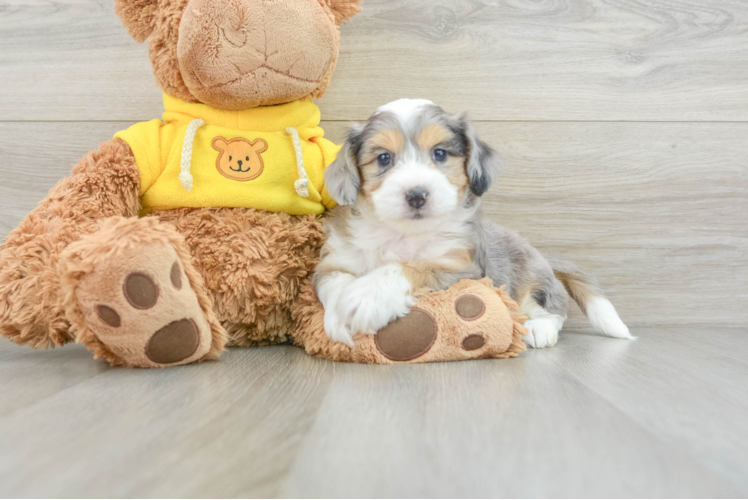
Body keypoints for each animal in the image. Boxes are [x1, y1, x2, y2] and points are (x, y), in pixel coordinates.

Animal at [312, 97, 636, 348]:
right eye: (383, 159)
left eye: (440, 153)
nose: (416, 194)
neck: (403, 233)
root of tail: (541, 254)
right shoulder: (334, 262)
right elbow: (334, 283)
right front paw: (339, 315)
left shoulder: (463, 270)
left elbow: (410, 267)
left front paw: (366, 297)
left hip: (530, 279)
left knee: (552, 307)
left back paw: (539, 329)